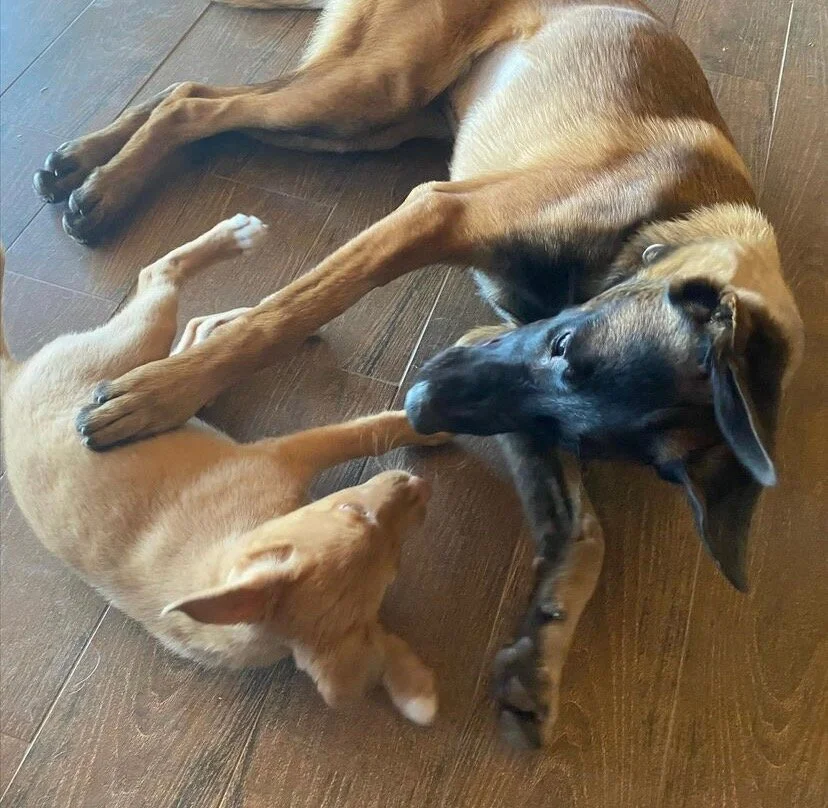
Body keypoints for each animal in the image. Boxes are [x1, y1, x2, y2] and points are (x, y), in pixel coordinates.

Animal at [0, 215, 449, 725]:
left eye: (396, 560)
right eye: (351, 511)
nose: (417, 485)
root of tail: (11, 381)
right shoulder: (286, 451)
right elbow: (363, 431)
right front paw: (429, 425)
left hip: (149, 366)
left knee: (192, 343)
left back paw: (230, 318)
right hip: (132, 339)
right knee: (158, 276)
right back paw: (233, 239)